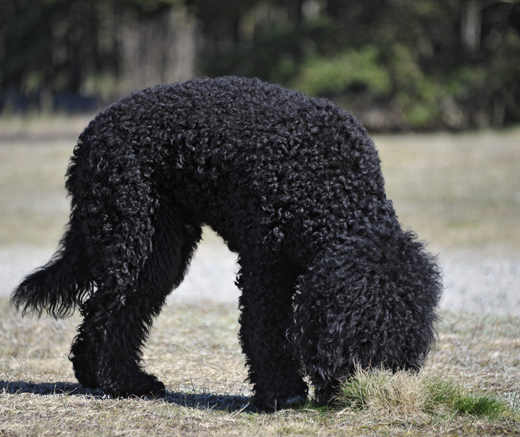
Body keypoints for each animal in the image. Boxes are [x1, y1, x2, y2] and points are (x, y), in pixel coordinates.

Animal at [11, 77, 442, 408]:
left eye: (402, 348)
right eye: (365, 341)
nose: (372, 390)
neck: (333, 192)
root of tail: (93, 130)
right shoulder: (265, 263)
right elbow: (263, 327)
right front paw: (281, 393)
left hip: (160, 249)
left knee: (114, 311)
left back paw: (102, 376)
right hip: (130, 235)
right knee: (109, 313)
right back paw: (121, 384)